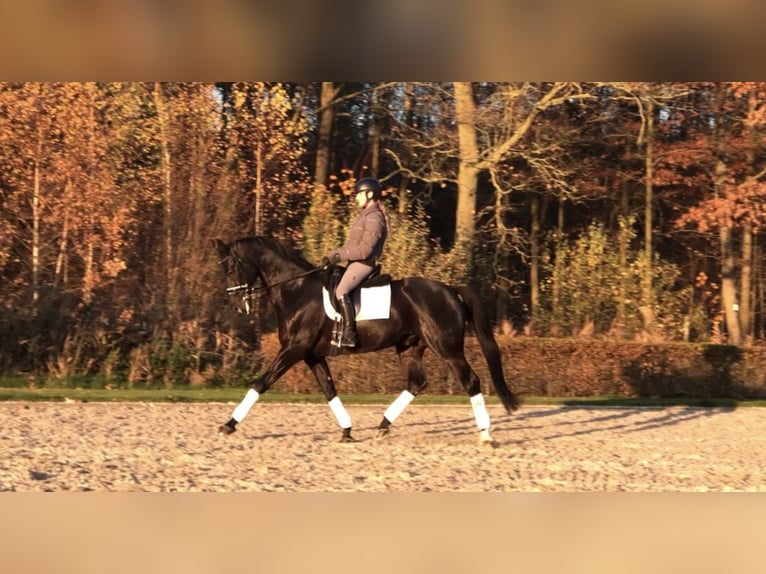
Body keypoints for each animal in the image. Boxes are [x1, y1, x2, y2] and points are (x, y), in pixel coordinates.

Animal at [212, 236, 519, 446]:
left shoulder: (294, 350)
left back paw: (486, 435)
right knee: (416, 383)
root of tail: (450, 289)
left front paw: (229, 424)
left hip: (448, 349)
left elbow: (261, 383)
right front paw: (347, 431)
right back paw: (383, 425)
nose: (238, 306)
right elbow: (329, 390)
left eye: (232, 268)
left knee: (471, 382)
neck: (296, 289)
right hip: (411, 347)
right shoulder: (312, 355)